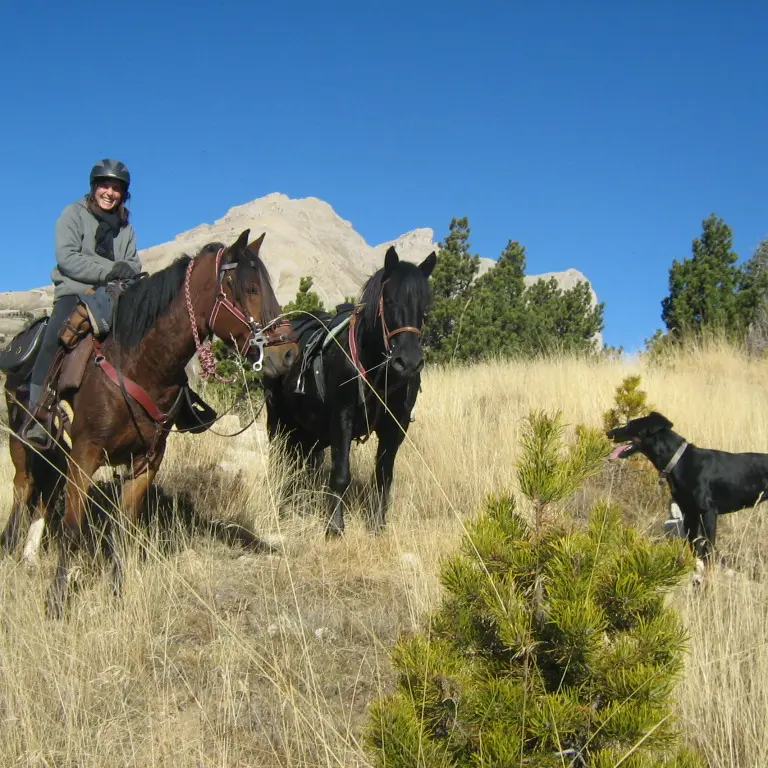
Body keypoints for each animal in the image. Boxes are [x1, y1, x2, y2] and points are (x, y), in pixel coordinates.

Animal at [2, 228, 292, 616]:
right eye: (250, 288)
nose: (288, 353)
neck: (139, 363)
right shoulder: (86, 454)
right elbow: (73, 528)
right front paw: (57, 603)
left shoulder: (146, 460)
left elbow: (125, 527)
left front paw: (117, 594)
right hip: (22, 437)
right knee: (24, 486)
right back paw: (13, 548)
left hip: (57, 448)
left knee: (47, 489)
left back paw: (30, 555)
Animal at [264, 246, 436, 536]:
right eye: (389, 300)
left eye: (424, 306)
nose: (409, 363)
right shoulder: (342, 419)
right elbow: (341, 472)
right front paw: (334, 527)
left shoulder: (396, 427)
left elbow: (383, 476)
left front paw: (378, 524)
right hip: (278, 421)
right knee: (280, 460)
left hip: (310, 432)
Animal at [608, 414, 768, 560]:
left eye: (630, 425)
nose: (608, 433)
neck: (679, 461)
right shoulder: (689, 512)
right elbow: (693, 545)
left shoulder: (707, 512)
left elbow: (708, 548)